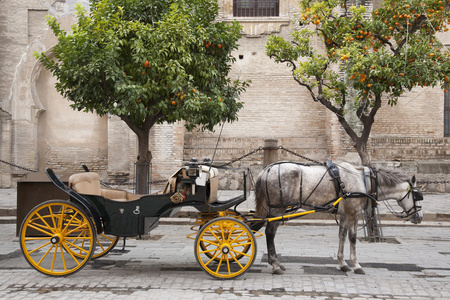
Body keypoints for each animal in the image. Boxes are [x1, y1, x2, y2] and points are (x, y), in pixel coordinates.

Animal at [255, 162, 424, 274]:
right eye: (417, 196)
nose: (419, 217)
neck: (364, 180)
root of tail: (266, 170)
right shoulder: (353, 213)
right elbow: (353, 238)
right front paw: (356, 265)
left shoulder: (344, 215)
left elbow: (342, 236)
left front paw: (343, 263)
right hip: (278, 209)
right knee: (270, 232)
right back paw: (275, 265)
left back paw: (276, 263)